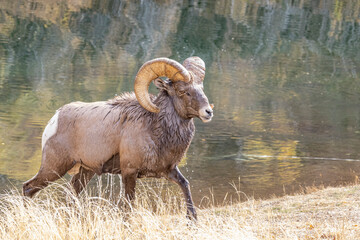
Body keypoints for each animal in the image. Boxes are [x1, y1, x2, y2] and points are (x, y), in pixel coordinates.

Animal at [22, 56, 212, 219]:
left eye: (201, 89)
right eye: (182, 91)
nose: (208, 112)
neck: (156, 129)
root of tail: (55, 119)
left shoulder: (168, 170)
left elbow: (185, 185)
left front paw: (191, 219)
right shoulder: (129, 172)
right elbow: (128, 205)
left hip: (85, 171)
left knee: (70, 194)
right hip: (54, 168)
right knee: (28, 188)